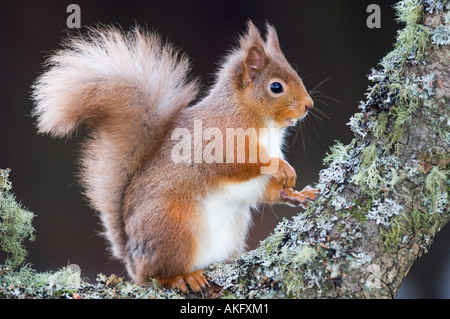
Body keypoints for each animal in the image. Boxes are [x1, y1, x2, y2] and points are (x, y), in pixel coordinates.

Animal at [31, 21, 318, 294]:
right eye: (276, 87)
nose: (309, 105)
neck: (254, 116)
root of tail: (132, 259)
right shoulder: (219, 143)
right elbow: (242, 163)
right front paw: (280, 166)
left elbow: (267, 192)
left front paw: (298, 193)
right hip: (174, 228)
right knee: (158, 274)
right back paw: (182, 277)